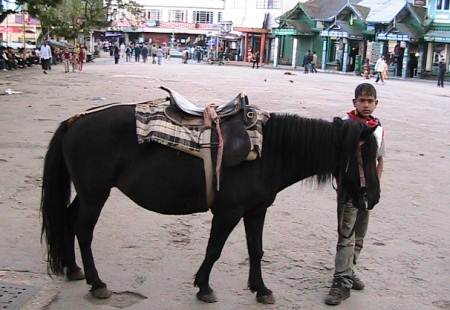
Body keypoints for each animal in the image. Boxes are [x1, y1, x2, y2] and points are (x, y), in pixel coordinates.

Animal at [41, 105, 380, 304]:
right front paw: (203, 287)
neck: (267, 152)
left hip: (88, 193)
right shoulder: (228, 212)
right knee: (84, 230)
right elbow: (214, 249)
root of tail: (75, 120)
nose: (373, 198)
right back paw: (97, 283)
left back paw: (73, 269)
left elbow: (256, 250)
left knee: (68, 220)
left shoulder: (256, 210)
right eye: (364, 155)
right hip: (95, 193)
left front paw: (261, 289)